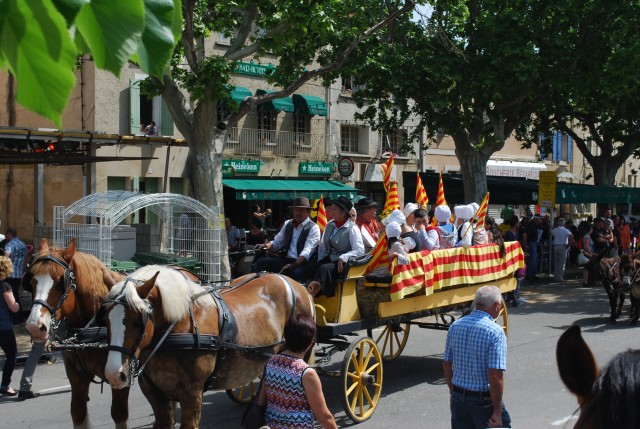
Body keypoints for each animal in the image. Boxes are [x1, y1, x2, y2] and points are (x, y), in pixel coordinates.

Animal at [24, 239, 129, 426]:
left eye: (61, 283)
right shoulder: (76, 375)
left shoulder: (121, 376)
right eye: (32, 281)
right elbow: (78, 412)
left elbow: (119, 414)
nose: (35, 326)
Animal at [99, 264, 316, 428]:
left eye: (138, 321)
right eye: (106, 318)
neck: (177, 326)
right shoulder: (156, 395)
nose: (114, 374)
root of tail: (293, 282)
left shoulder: (192, 395)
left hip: (301, 354)